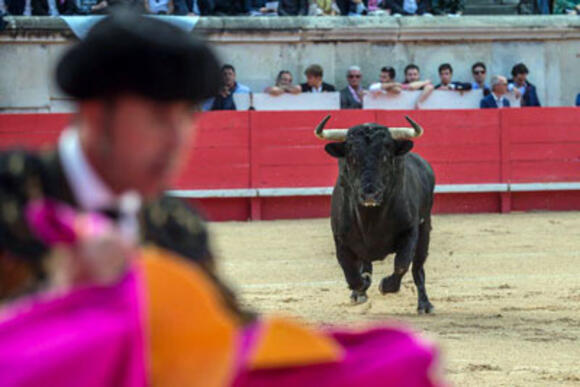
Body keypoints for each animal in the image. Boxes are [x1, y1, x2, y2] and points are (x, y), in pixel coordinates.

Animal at [318, 116, 436, 316]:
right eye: (352, 157)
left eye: (385, 156)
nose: (370, 195)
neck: (370, 218)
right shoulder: (340, 238)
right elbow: (351, 274)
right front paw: (361, 287)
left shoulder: (411, 230)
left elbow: (402, 263)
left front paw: (384, 285)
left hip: (425, 227)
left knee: (418, 267)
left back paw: (425, 305)